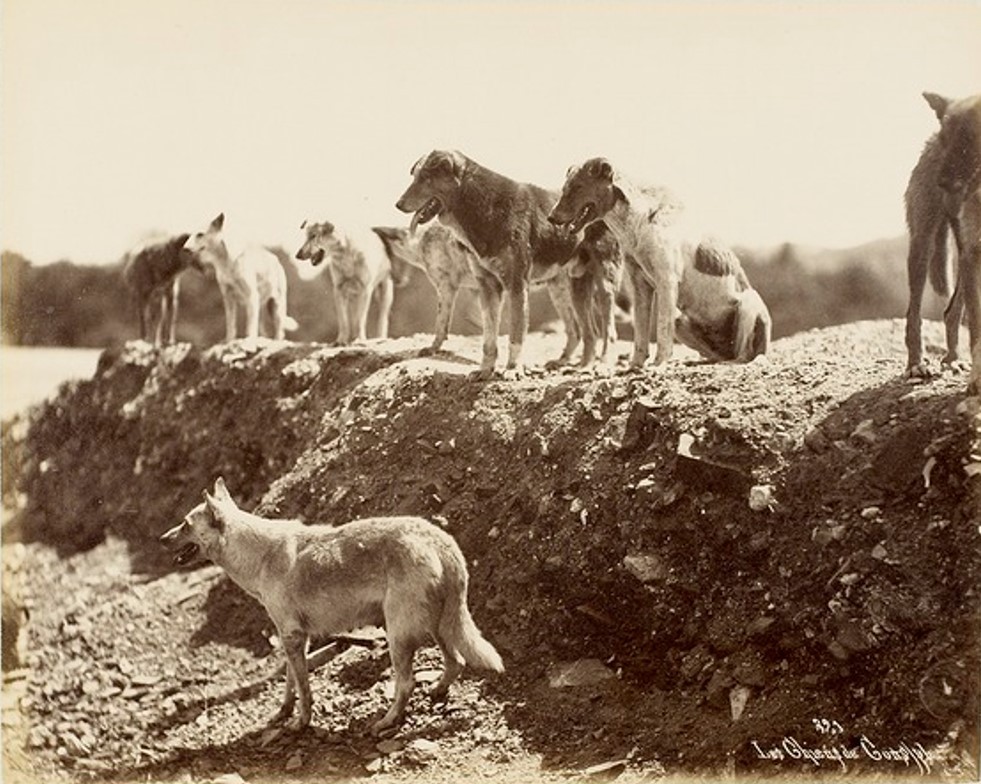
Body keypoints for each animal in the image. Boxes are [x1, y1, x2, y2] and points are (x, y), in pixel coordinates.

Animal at [182, 213, 292, 342]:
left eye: (200, 234)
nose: (184, 249)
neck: (226, 262)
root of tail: (276, 260)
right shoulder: (228, 298)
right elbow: (231, 325)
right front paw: (229, 341)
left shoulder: (251, 296)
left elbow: (250, 326)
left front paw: (249, 340)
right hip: (262, 308)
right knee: (264, 331)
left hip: (277, 306)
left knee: (279, 332)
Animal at [396, 151, 620, 380]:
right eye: (415, 176)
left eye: (425, 178)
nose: (398, 204)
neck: (482, 207)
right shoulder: (487, 287)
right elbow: (489, 338)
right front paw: (485, 370)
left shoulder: (516, 286)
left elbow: (515, 335)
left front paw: (512, 369)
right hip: (573, 289)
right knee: (587, 332)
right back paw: (581, 365)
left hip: (604, 286)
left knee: (608, 332)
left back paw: (602, 365)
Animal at [904, 92, 980, 396]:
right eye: (948, 138)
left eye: (971, 137)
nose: (944, 183)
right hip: (922, 247)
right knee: (913, 315)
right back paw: (916, 364)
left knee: (951, 312)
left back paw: (954, 359)